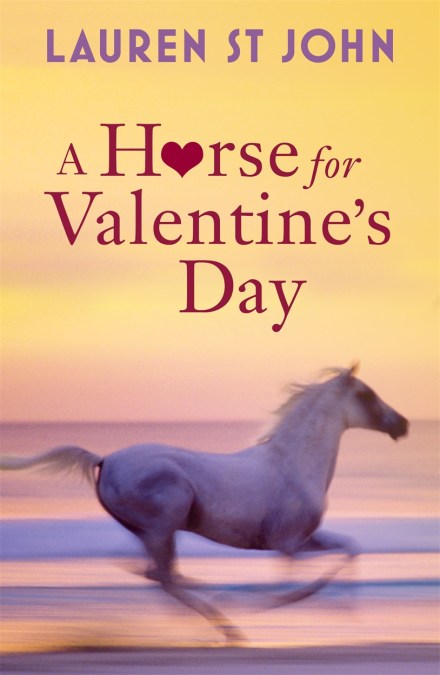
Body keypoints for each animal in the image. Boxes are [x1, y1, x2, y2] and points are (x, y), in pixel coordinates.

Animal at [0, 365, 408, 641]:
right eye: (367, 394)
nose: (402, 424)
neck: (293, 463)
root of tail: (106, 459)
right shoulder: (288, 544)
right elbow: (290, 586)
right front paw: (259, 603)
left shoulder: (305, 540)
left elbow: (351, 548)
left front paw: (348, 610)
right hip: (165, 522)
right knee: (161, 575)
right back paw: (225, 621)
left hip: (148, 531)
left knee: (150, 571)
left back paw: (216, 614)